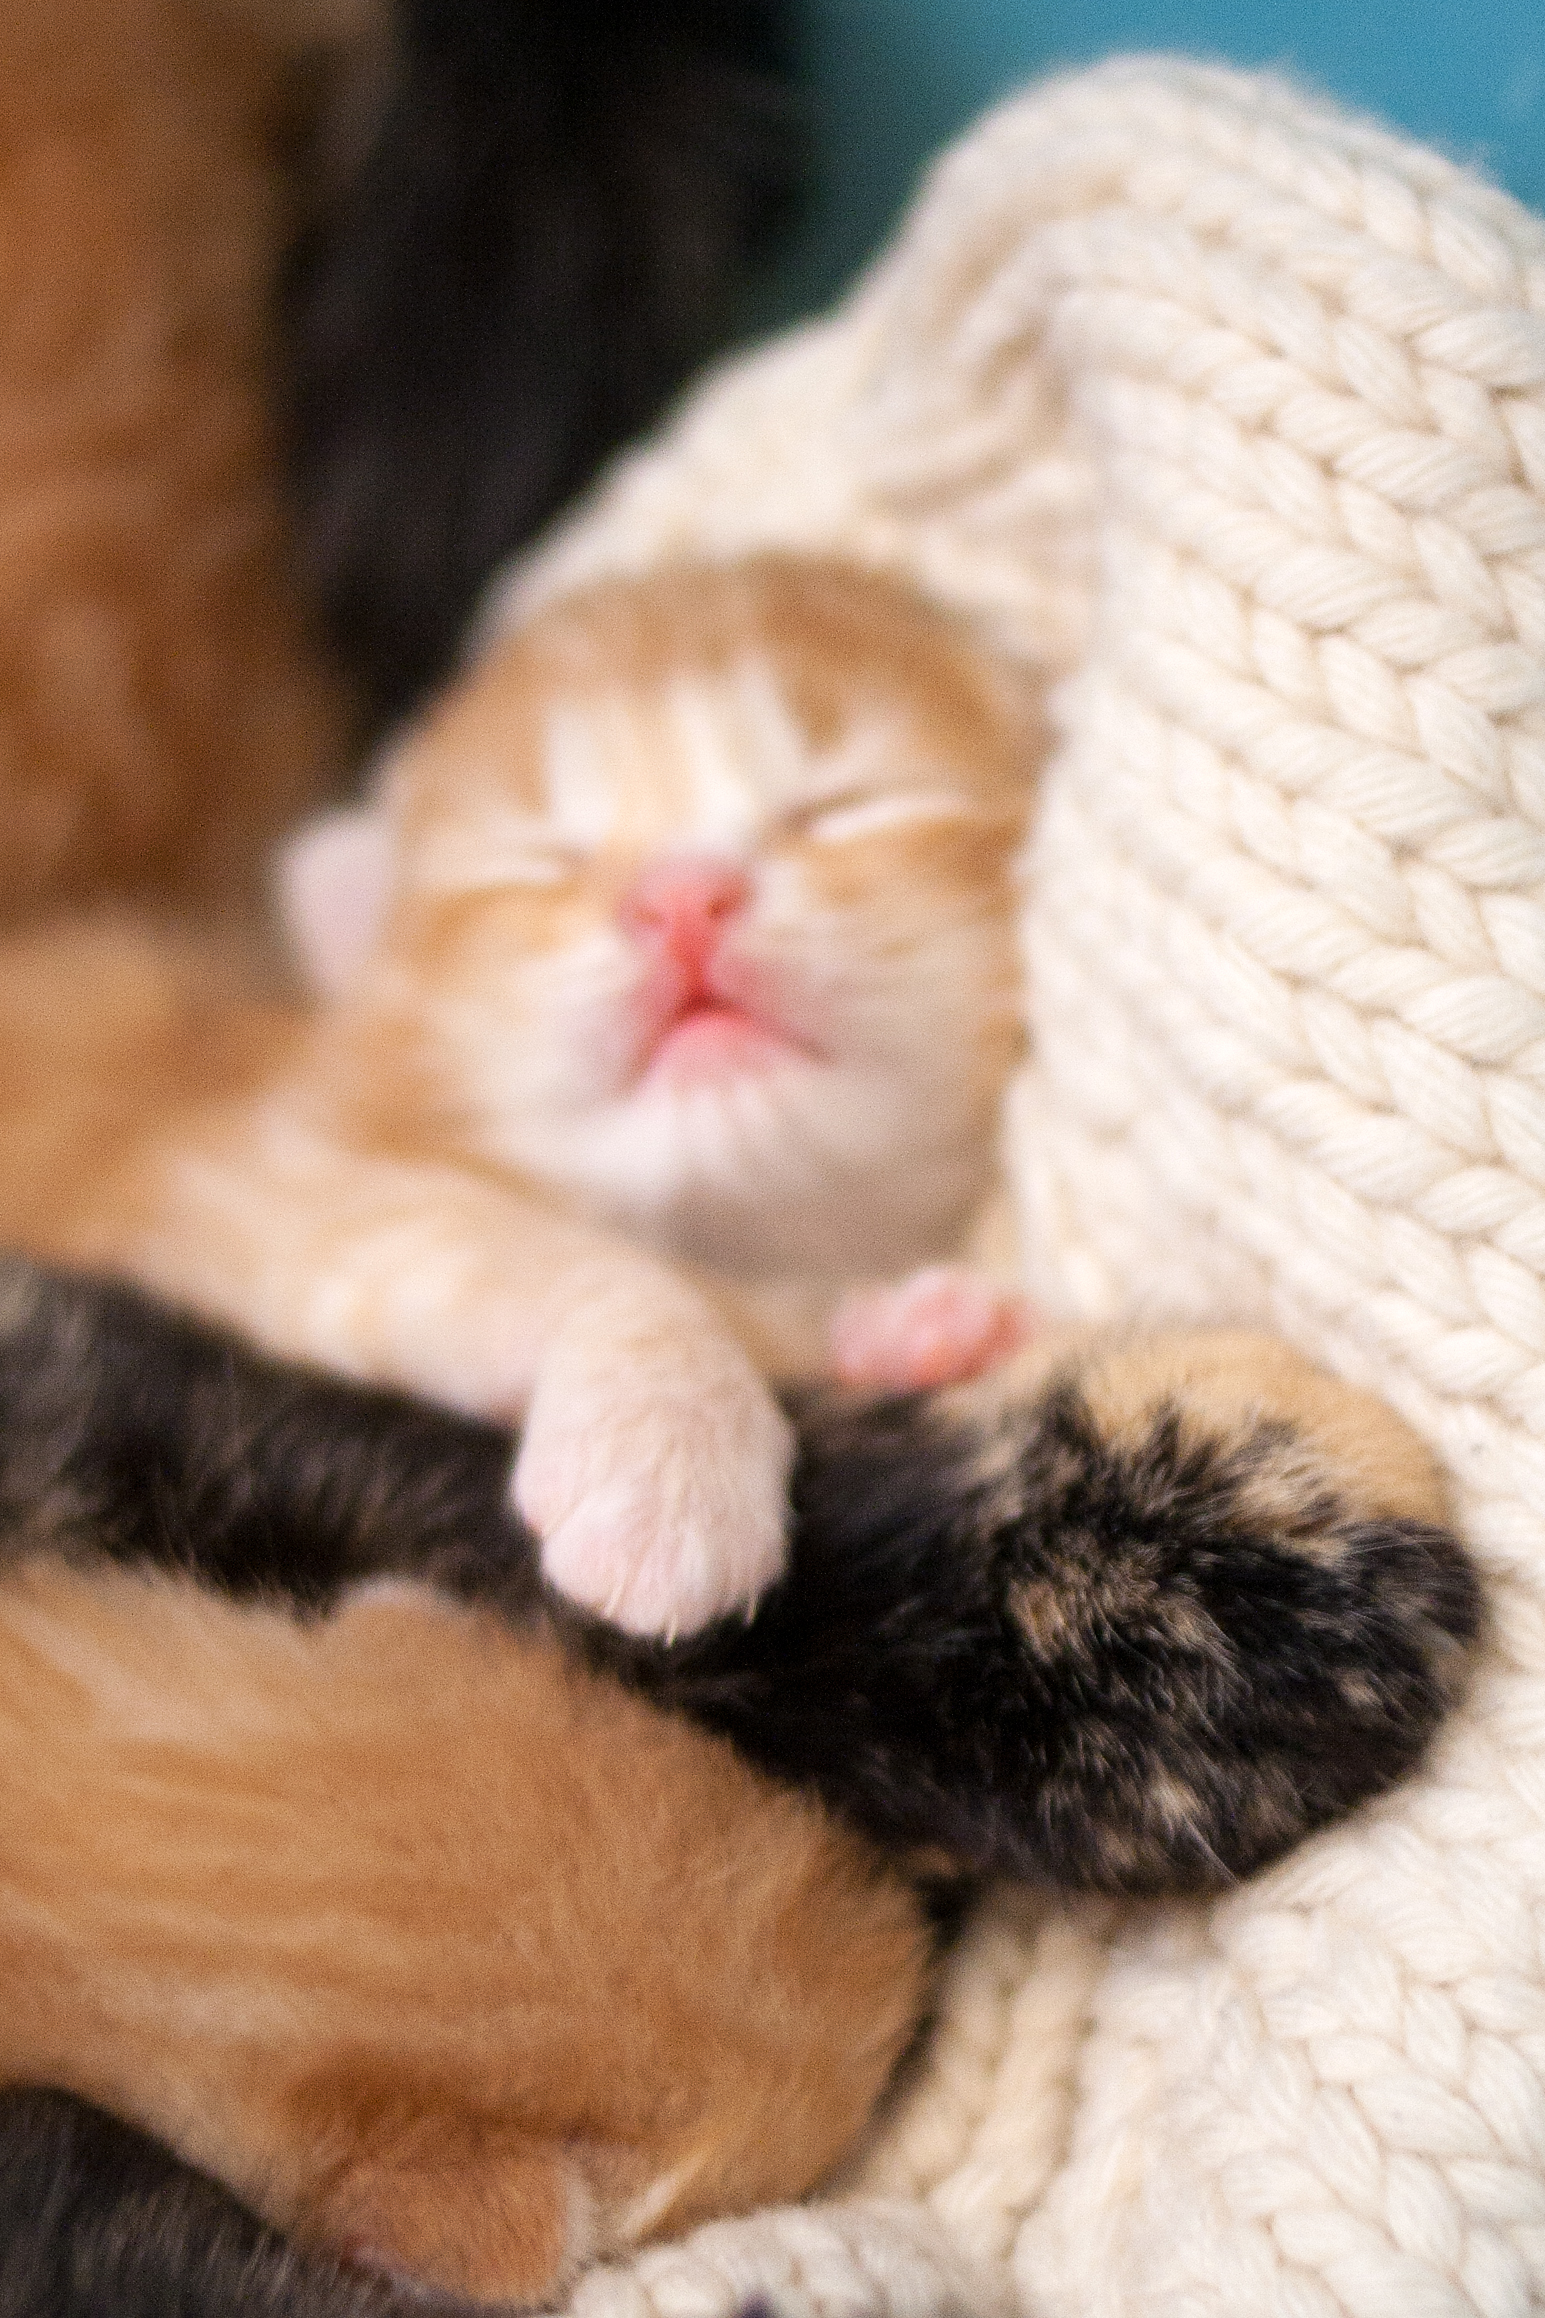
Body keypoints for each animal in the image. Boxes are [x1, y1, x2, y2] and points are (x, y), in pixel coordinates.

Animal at [0, 551, 1046, 1641]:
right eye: (539, 859)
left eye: (851, 803)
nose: (680, 900)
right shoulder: (255, 1191)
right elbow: (570, 1256)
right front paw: (666, 1462)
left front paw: (914, 1334)